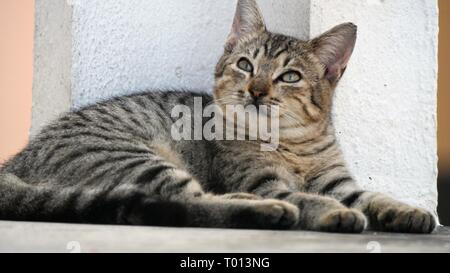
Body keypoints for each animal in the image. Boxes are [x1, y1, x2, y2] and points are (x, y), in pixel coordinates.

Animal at [0, 0, 436, 234]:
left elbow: (374, 195)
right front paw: (332, 211)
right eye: (245, 65)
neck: (293, 144)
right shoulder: (262, 180)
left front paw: (410, 211)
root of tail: (15, 162)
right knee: (186, 203)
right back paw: (266, 210)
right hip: (137, 158)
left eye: (289, 76)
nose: (256, 90)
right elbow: (303, 195)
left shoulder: (338, 181)